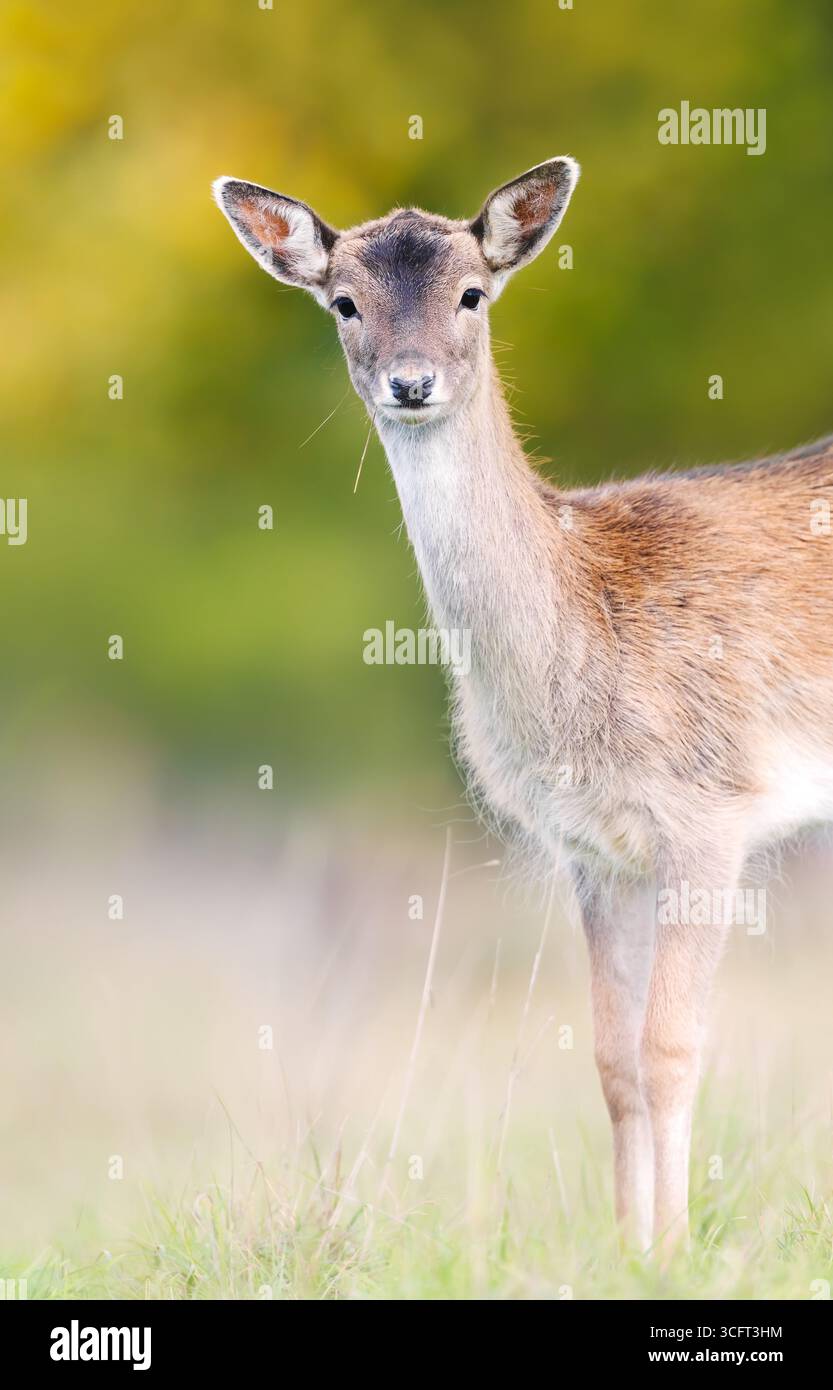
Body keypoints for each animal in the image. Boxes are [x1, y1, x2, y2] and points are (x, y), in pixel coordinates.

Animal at [213, 158, 833, 1255]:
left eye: (472, 293)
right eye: (344, 302)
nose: (410, 381)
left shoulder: (713, 809)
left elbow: (672, 1047)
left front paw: (676, 1251)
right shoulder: (590, 847)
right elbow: (612, 1060)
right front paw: (627, 1247)